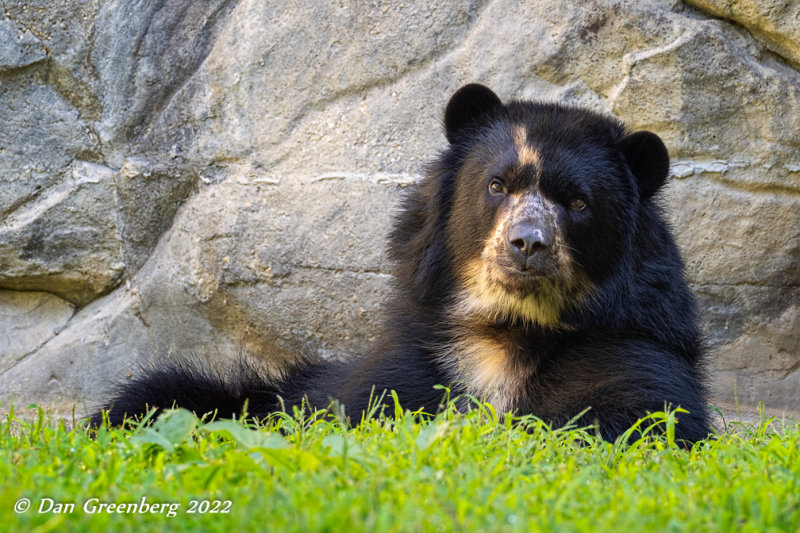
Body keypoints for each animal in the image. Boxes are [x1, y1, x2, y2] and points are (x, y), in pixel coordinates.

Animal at [94, 83, 712, 440]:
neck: (508, 328)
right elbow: (364, 410)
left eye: (578, 203)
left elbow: (637, 418)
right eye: (497, 185)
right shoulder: (407, 360)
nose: (528, 244)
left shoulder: (633, 347)